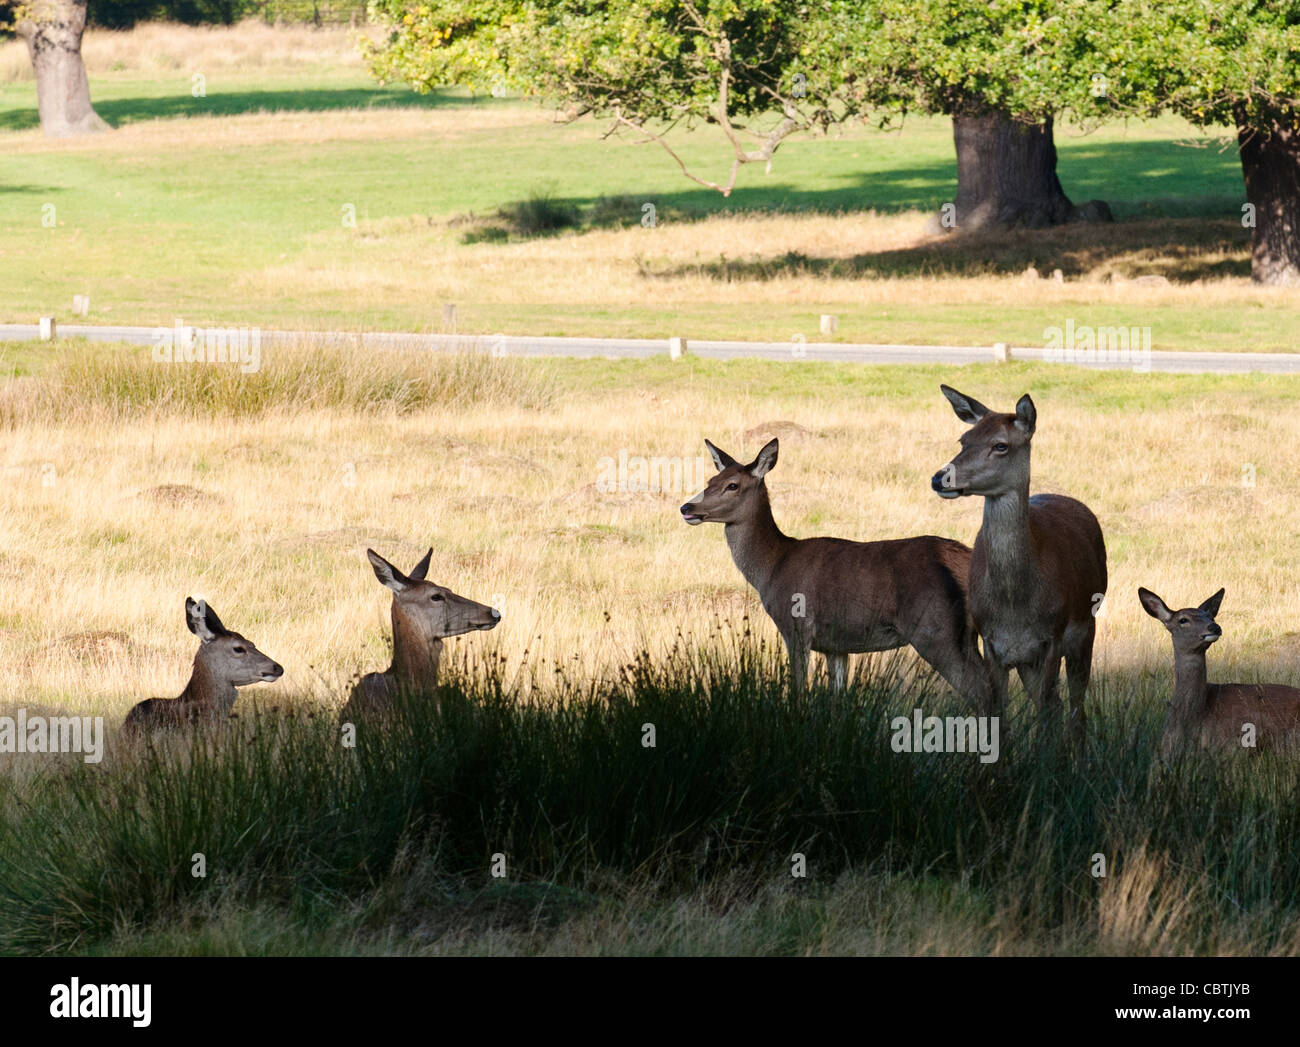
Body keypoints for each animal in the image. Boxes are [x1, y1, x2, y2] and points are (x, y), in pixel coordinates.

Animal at [676, 431, 987, 702]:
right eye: (711, 479)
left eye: (733, 485)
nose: (686, 508)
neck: (774, 566)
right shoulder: (835, 645)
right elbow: (836, 698)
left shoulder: (797, 626)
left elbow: (799, 691)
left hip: (936, 629)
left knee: (981, 691)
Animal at [925, 384, 1107, 743]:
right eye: (964, 439)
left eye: (1000, 445)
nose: (940, 478)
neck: (1016, 606)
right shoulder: (992, 643)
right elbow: (999, 717)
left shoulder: (1051, 636)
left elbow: (1047, 716)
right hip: (1028, 661)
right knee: (1057, 704)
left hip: (1086, 629)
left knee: (1074, 710)